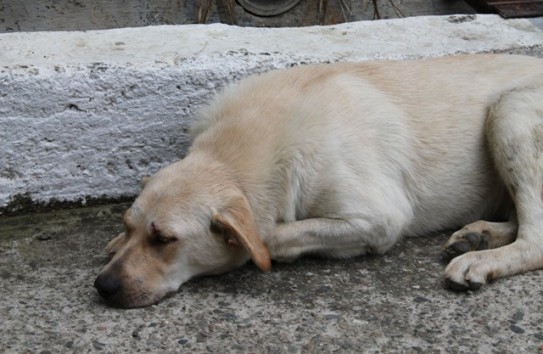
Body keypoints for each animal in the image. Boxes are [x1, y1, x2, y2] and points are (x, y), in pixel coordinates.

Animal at [94, 54, 543, 306]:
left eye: (165, 240)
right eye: (130, 227)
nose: (102, 286)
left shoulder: (381, 217)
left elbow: (271, 236)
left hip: (509, 113)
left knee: (535, 238)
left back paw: (482, 258)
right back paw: (479, 235)